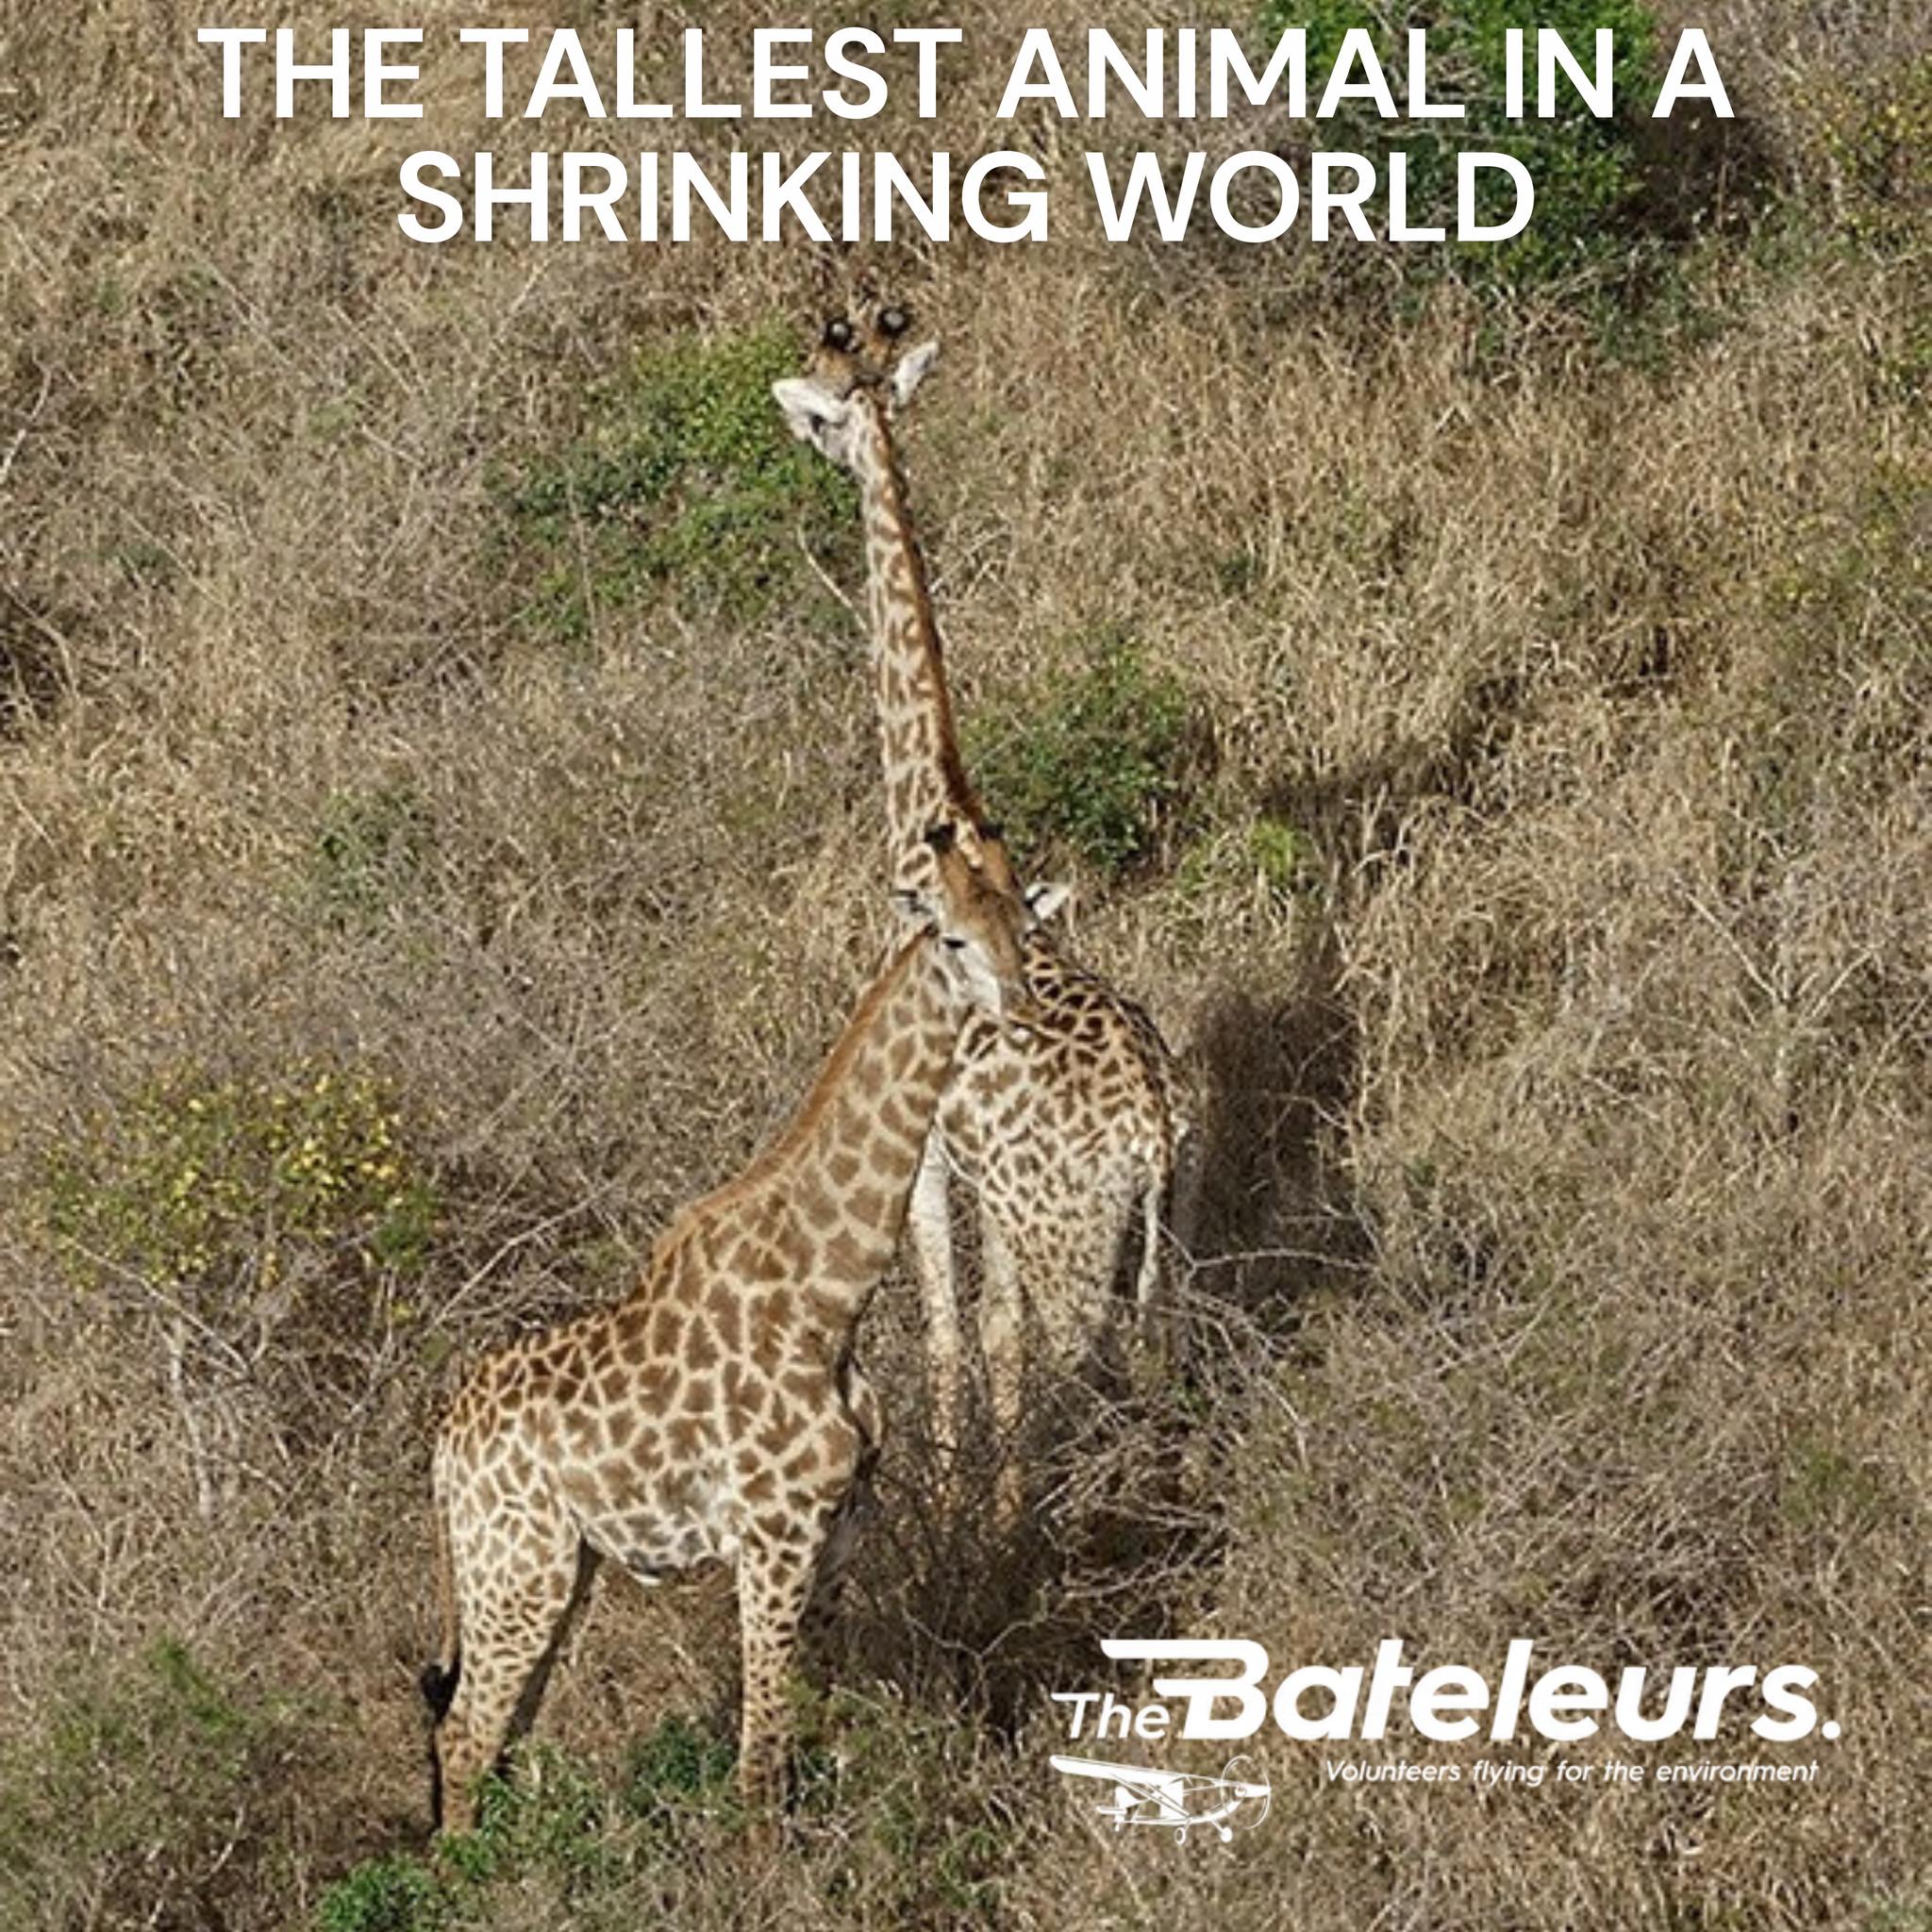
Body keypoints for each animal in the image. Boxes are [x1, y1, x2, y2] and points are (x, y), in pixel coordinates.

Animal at [421, 826, 1040, 1832]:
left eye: (1025, 926)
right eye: (954, 939)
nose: (1021, 1008)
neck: (830, 1299)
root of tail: (443, 1447)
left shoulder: (840, 1524)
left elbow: (804, 1727)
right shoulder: (772, 1529)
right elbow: (757, 1758)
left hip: (558, 1565)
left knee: (509, 1733)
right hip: (517, 1562)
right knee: (466, 1737)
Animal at [772, 307, 1188, 1515]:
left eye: (822, 421)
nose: (813, 448)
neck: (936, 800)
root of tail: (1150, 1132)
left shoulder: (924, 1159)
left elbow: (956, 1327)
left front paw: (965, 1498)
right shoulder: (982, 1178)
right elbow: (994, 1329)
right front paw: (993, 1496)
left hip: (1075, 1250)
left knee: (1092, 1366)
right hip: (1166, 1241)